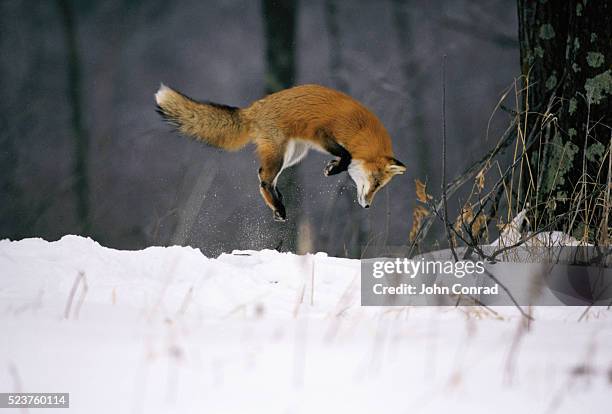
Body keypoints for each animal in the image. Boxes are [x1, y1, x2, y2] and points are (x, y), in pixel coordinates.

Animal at [157, 82, 406, 222]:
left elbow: (345, 156)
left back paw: (278, 204)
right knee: (264, 178)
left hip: (294, 154)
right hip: (281, 153)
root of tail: (254, 108)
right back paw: (278, 206)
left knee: (263, 176)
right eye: (375, 183)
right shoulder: (320, 133)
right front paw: (334, 168)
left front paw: (332, 166)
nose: (367, 206)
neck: (360, 132)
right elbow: (347, 156)